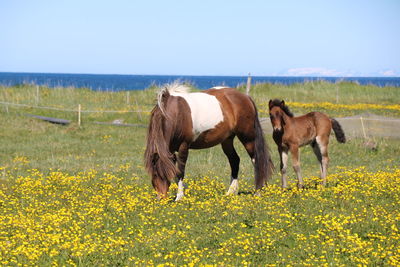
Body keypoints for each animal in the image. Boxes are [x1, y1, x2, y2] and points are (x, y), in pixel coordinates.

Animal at [145, 84, 274, 201]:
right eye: (154, 174)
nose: (161, 198)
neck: (175, 113)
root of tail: (246, 97)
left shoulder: (183, 146)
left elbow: (180, 172)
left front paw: (179, 197)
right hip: (227, 140)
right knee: (234, 160)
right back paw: (230, 192)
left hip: (247, 137)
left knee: (256, 160)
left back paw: (257, 192)